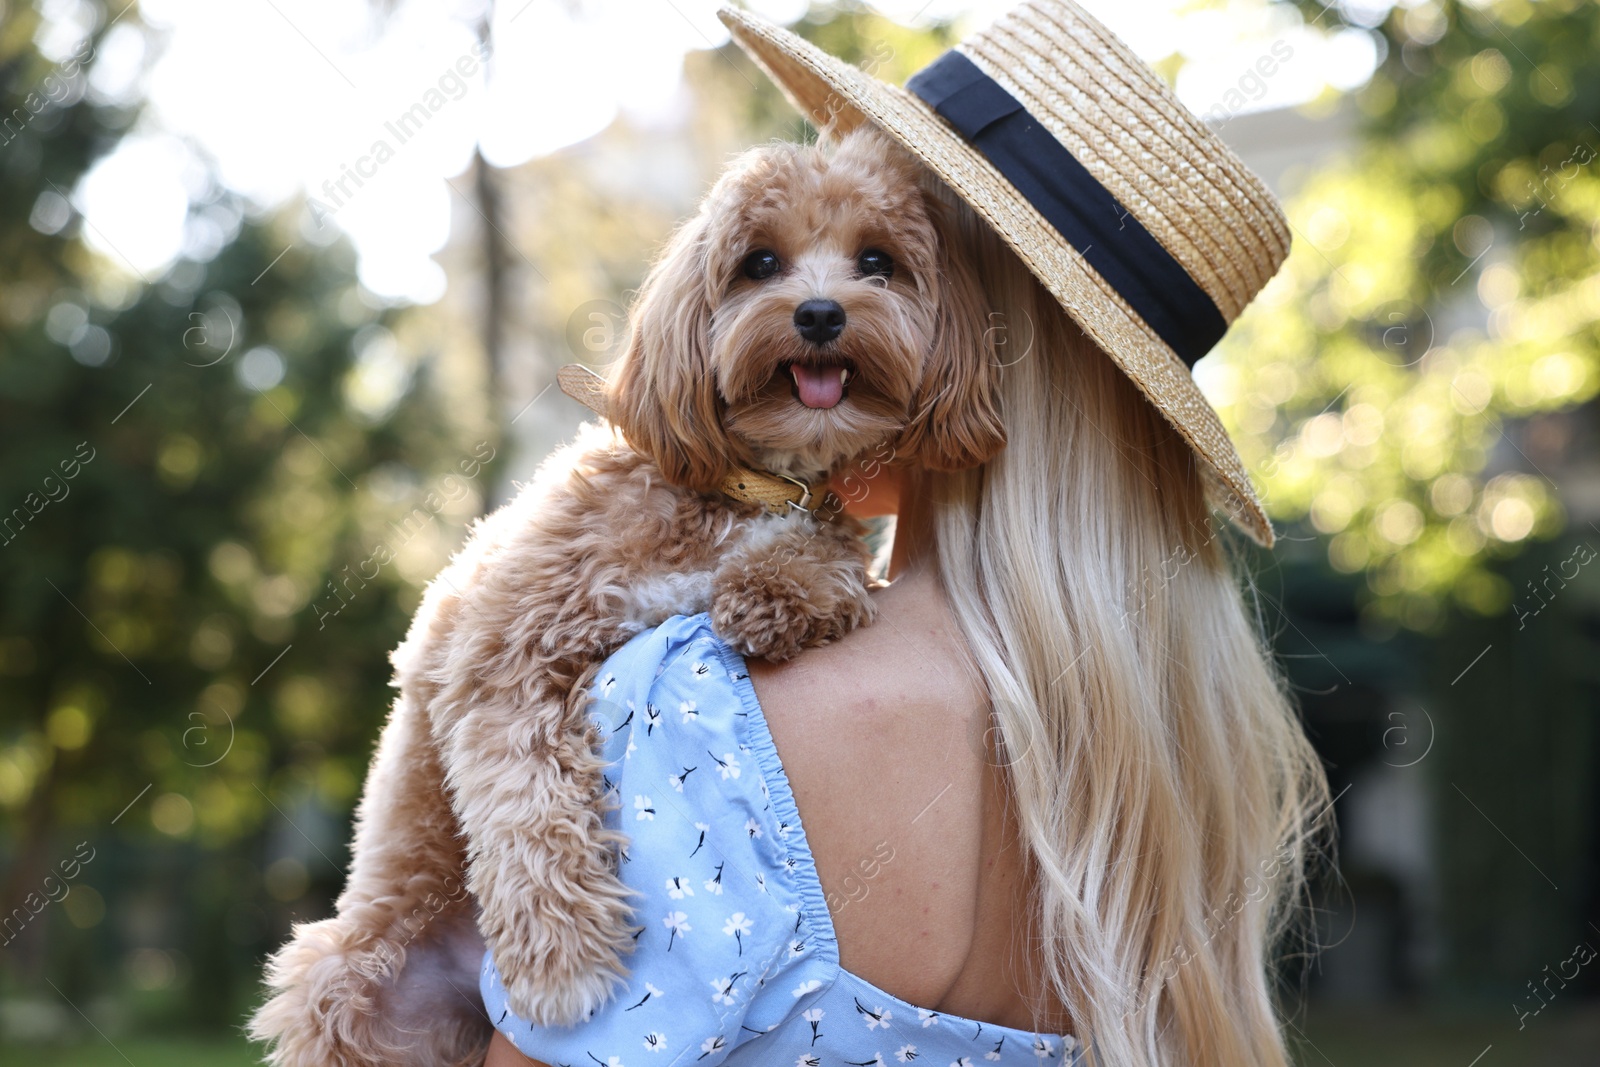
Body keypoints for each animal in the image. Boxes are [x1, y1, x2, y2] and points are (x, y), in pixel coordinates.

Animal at [246, 127, 998, 1067]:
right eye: (759, 262)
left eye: (877, 262)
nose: (822, 313)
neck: (746, 482)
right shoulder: (501, 652)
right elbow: (528, 803)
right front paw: (562, 956)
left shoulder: (805, 526)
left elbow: (823, 559)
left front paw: (776, 593)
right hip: (347, 983)